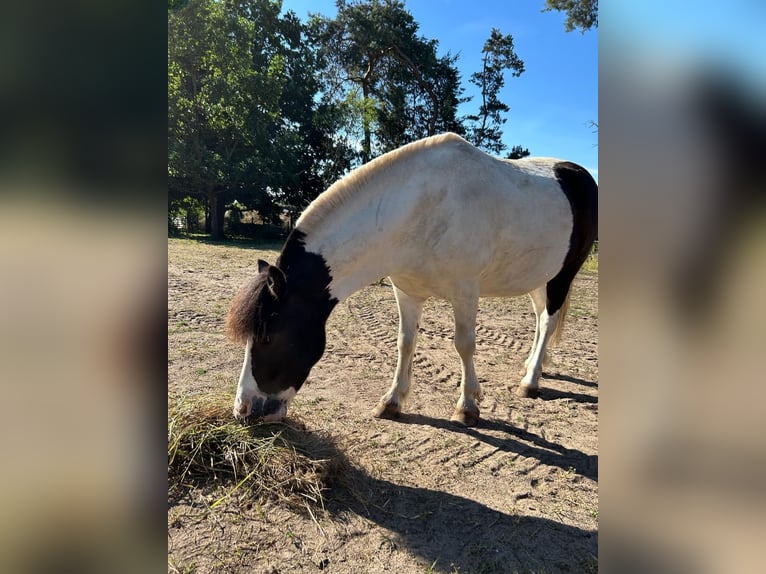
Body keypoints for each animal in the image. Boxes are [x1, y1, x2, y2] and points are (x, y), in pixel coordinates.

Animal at [226, 133, 597, 427]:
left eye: (268, 337)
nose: (245, 409)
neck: (422, 208)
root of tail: (579, 175)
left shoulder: (465, 292)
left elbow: (464, 345)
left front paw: (467, 407)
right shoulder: (406, 291)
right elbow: (405, 343)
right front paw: (391, 401)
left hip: (563, 274)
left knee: (548, 321)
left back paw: (531, 381)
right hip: (538, 276)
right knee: (539, 317)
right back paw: (534, 364)